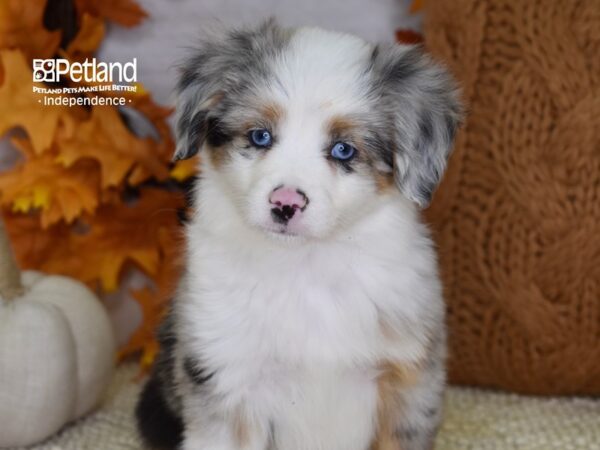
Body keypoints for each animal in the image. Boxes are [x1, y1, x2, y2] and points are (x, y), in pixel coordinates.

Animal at [137, 18, 464, 450]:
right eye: (260, 136)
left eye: (343, 150)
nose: (285, 203)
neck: (306, 266)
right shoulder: (227, 377)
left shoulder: (407, 381)